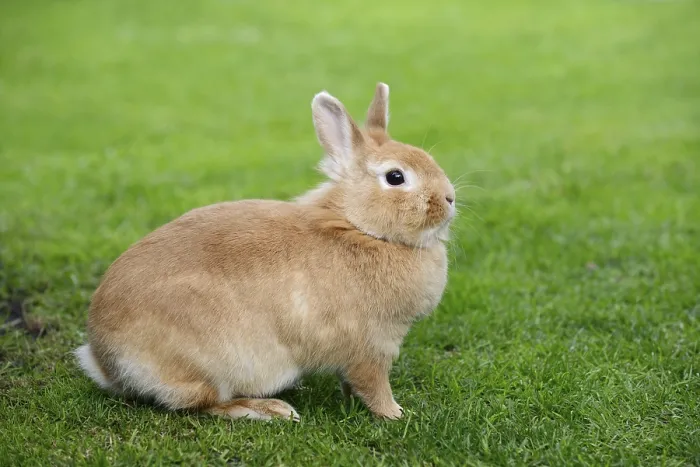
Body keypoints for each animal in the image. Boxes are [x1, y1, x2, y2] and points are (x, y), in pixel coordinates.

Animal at [74, 82, 456, 421]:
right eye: (395, 177)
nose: (450, 198)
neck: (361, 228)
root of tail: (105, 359)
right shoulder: (372, 346)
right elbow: (374, 386)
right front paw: (396, 415)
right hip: (218, 365)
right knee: (202, 403)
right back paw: (268, 410)